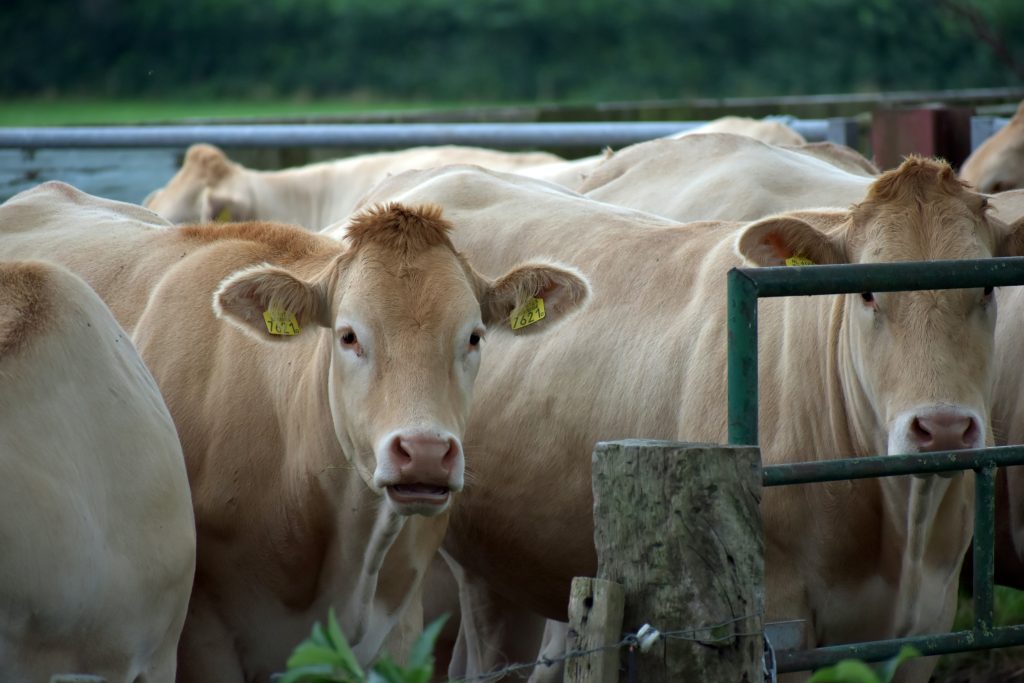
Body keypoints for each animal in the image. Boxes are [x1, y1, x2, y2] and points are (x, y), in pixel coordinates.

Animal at [352, 161, 1024, 683]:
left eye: (988, 289)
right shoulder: (780, 623)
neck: (897, 526)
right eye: (865, 293)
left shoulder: (924, 626)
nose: (941, 428)